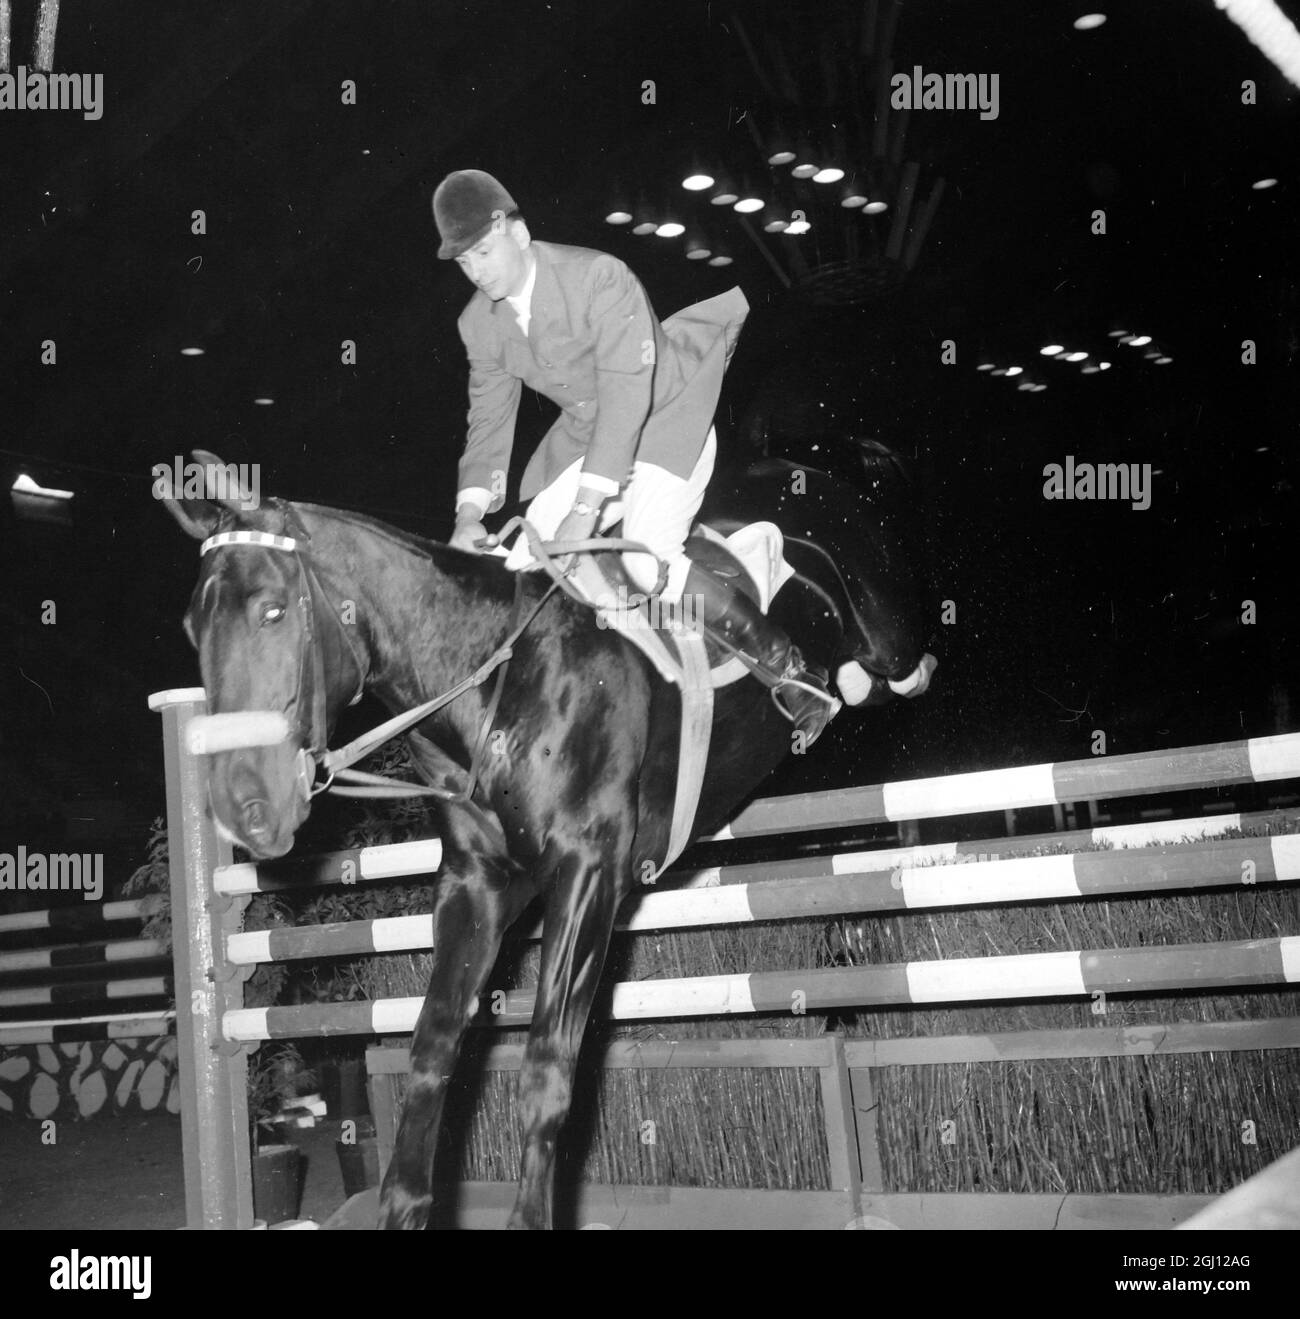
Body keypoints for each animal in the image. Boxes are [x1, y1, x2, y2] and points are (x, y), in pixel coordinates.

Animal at [163, 448, 933, 1229]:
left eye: (272, 609)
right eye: (194, 632)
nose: (241, 808)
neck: (494, 679)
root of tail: (807, 467)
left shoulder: (588, 872)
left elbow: (547, 1065)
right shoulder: (477, 882)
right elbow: (433, 1047)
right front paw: (404, 1205)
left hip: (890, 642)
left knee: (901, 674)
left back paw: (821, 687)